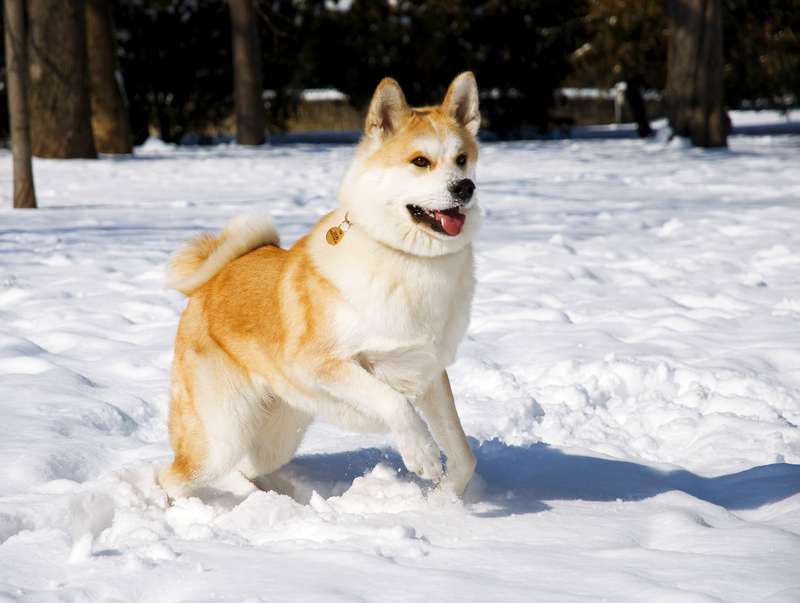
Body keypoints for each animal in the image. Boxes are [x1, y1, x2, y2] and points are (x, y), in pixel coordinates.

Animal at [159, 73, 478, 502]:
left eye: (462, 159)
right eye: (420, 161)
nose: (465, 187)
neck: (409, 259)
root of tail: (207, 284)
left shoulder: (430, 374)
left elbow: (463, 455)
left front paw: (444, 501)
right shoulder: (323, 363)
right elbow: (394, 402)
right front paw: (423, 456)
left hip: (277, 436)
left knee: (248, 467)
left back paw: (275, 497)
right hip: (223, 435)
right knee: (173, 477)